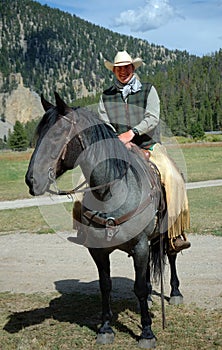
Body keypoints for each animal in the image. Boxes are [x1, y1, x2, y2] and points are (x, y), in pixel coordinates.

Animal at [25, 91, 183, 348]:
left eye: (57, 133)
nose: (31, 180)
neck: (111, 190)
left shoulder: (140, 245)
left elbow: (139, 287)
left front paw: (147, 332)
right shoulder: (99, 250)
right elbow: (106, 285)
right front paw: (106, 328)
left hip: (167, 231)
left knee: (171, 254)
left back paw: (176, 293)